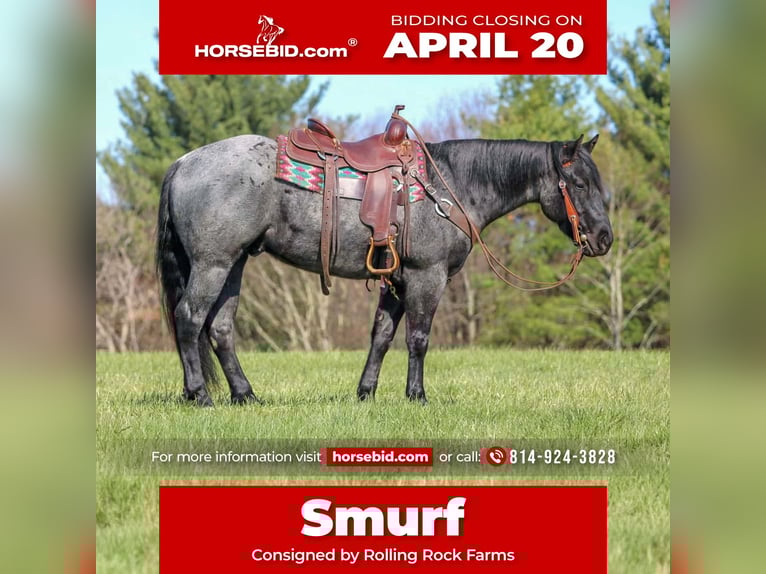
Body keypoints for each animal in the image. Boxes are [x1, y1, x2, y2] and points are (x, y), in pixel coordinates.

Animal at [156, 130, 613, 406]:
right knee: (189, 319)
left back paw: (245, 395)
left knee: (220, 328)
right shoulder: (427, 276)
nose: (605, 238)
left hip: (233, 265)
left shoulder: (395, 279)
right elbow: (418, 339)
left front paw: (366, 393)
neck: (450, 186)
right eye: (580, 184)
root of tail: (183, 162)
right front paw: (417, 395)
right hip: (213, 264)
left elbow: (382, 337)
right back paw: (199, 394)